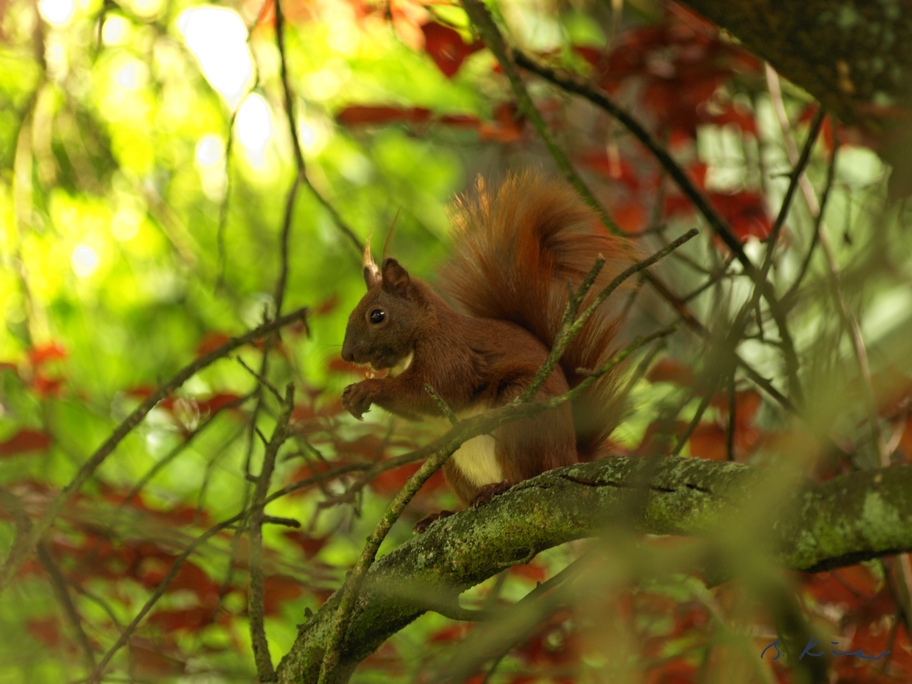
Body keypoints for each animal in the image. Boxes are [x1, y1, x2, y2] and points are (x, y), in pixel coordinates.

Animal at [338, 172, 632, 528]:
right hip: (453, 462)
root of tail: (568, 457)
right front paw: (352, 395)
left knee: (526, 474)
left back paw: (500, 486)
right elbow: (418, 408)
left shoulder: (450, 354)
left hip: (522, 416)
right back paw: (446, 513)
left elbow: (432, 392)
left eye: (377, 316)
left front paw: (367, 388)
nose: (347, 355)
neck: (420, 334)